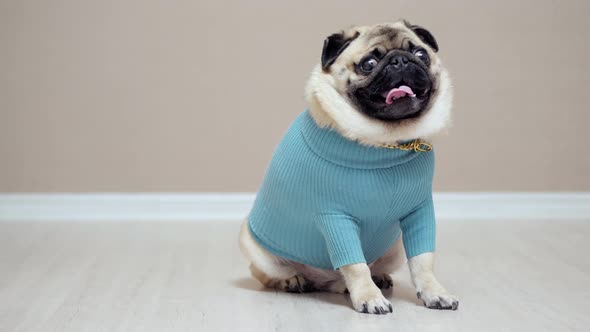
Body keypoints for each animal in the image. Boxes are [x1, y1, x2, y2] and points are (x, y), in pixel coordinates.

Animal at [239, 19, 458, 316]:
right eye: (368, 63)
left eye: (421, 54)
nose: (400, 61)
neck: (384, 143)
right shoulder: (335, 216)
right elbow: (355, 266)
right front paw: (369, 297)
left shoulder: (419, 211)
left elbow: (423, 260)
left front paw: (434, 292)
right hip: (253, 246)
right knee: (268, 274)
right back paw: (292, 280)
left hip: (394, 249)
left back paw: (376, 277)